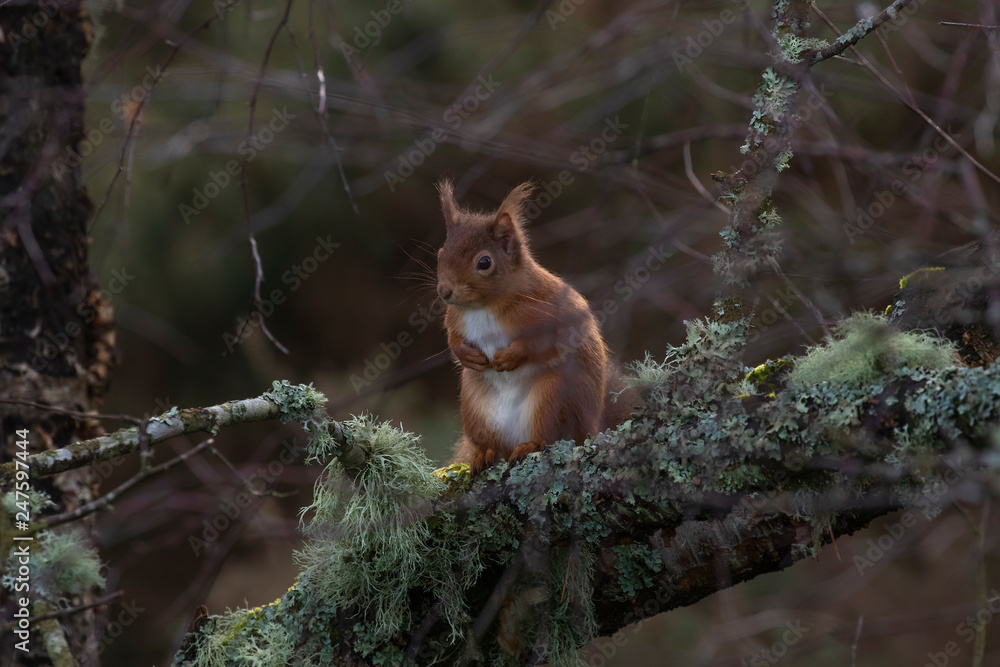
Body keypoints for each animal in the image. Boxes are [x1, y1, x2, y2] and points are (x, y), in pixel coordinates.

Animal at [435, 180, 638, 475]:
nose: (444, 292)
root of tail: (591, 429)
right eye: (440, 254)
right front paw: (467, 355)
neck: (483, 307)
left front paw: (510, 357)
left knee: (550, 437)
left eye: (484, 263)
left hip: (554, 398)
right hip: (476, 408)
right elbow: (453, 339)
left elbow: (545, 342)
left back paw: (530, 446)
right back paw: (486, 453)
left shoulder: (556, 312)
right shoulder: (455, 319)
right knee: (495, 446)